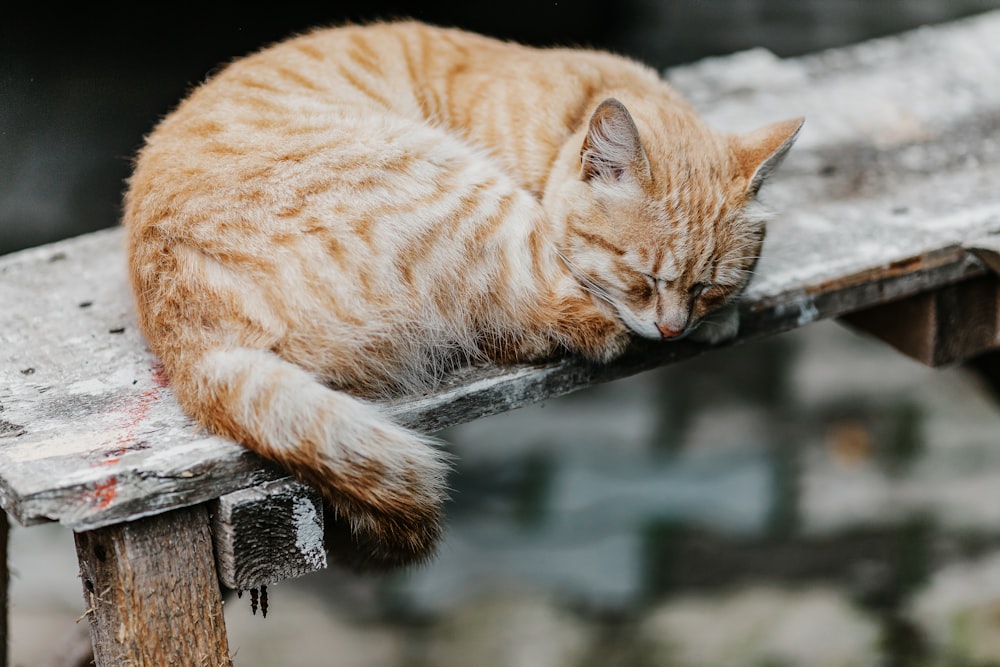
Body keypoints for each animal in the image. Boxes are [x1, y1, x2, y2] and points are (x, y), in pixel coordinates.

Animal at [125, 20, 800, 568]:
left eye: (709, 287)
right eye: (641, 279)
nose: (673, 329)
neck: (570, 110)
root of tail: (192, 341)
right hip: (465, 191)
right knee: (549, 324)